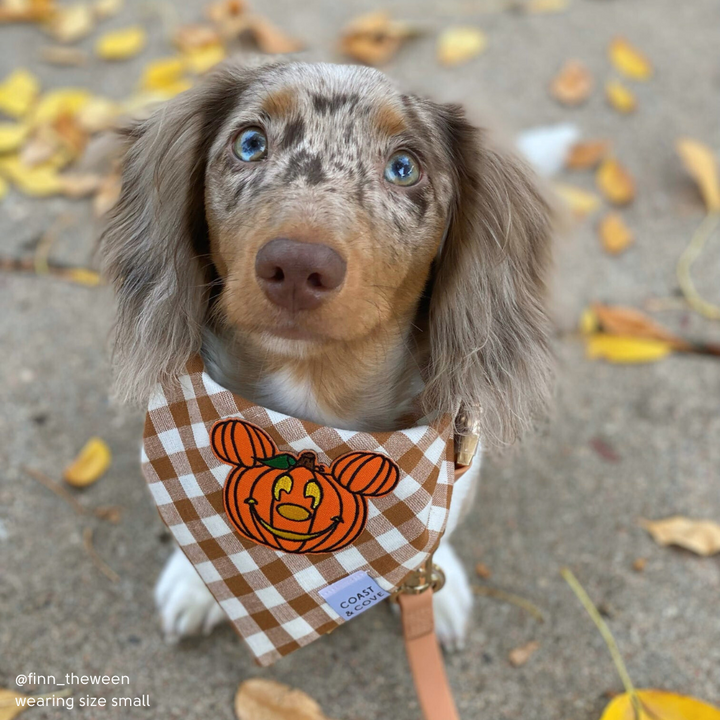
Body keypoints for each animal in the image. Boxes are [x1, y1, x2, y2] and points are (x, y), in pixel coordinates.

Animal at [100, 59, 552, 648]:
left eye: (405, 167)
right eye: (250, 143)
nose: (296, 266)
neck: (310, 405)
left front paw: (438, 588)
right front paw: (196, 585)